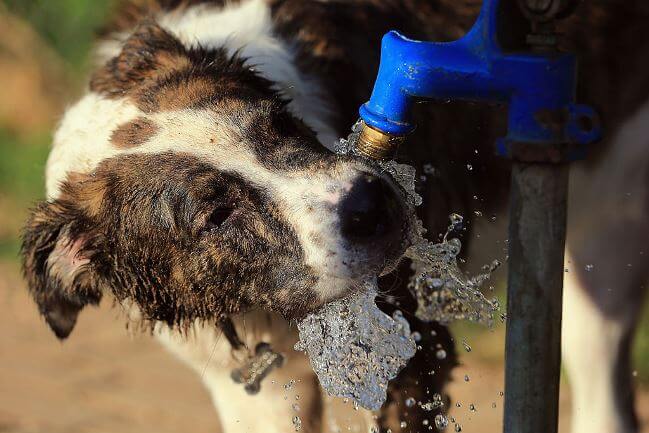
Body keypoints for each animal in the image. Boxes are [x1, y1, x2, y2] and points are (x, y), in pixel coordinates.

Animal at [20, 0, 648, 432]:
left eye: (278, 122)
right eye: (216, 216)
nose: (372, 204)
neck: (260, 311)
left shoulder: (407, 358)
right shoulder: (247, 389)